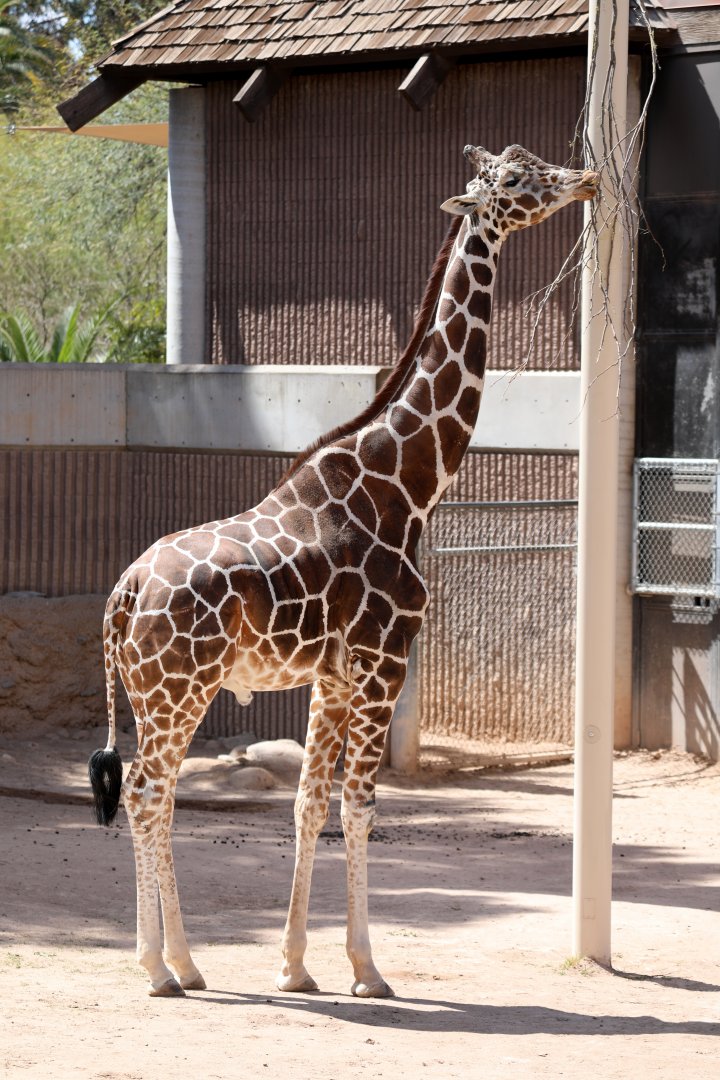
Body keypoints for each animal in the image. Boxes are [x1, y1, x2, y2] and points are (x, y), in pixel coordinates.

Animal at [89, 143, 598, 999]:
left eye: (528, 163)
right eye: (515, 181)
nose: (588, 179)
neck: (406, 488)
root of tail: (123, 593)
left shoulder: (332, 675)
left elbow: (307, 803)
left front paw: (296, 965)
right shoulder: (384, 659)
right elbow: (360, 805)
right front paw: (367, 968)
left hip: (152, 689)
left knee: (155, 794)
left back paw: (185, 962)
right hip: (179, 687)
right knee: (146, 790)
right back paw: (158, 968)